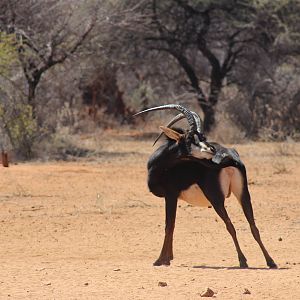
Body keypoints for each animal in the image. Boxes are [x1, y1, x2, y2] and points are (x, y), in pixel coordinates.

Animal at [135, 104, 278, 268]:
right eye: (190, 138)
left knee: (230, 226)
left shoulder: (170, 196)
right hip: (243, 194)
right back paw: (270, 261)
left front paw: (161, 260)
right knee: (253, 226)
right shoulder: (174, 198)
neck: (159, 165)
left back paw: (243, 260)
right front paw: (169, 257)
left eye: (202, 138)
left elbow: (169, 225)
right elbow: (172, 224)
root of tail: (231, 158)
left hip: (216, 199)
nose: (211, 150)